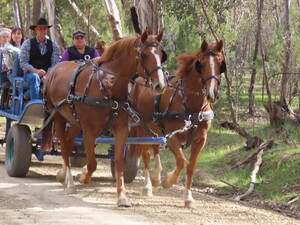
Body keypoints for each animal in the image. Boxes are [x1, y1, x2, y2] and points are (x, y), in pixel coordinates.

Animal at [40, 30, 166, 207]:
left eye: (161, 54)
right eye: (145, 55)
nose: (160, 85)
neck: (107, 84)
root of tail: (54, 69)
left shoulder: (121, 130)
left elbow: (119, 162)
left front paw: (122, 196)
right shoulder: (89, 131)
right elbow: (92, 163)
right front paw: (83, 177)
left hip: (75, 122)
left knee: (69, 141)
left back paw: (63, 174)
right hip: (58, 116)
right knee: (64, 147)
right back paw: (70, 183)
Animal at [130, 40, 226, 207]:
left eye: (221, 64)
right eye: (201, 64)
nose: (212, 94)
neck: (190, 104)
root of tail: (141, 80)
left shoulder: (200, 139)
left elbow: (191, 167)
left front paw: (188, 197)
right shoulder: (171, 137)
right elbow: (181, 161)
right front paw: (168, 181)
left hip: (155, 129)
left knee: (155, 148)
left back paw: (156, 177)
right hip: (142, 127)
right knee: (146, 154)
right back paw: (148, 186)